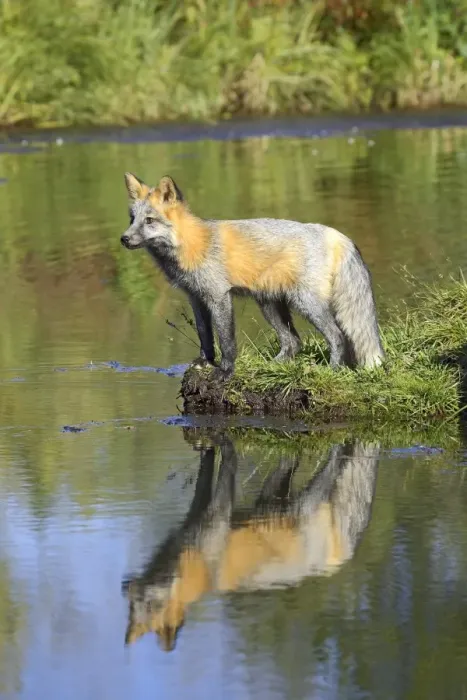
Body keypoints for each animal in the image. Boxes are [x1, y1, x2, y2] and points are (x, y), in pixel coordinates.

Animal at [120, 173, 385, 380]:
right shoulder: (196, 298)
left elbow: (226, 340)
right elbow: (205, 335)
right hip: (269, 303)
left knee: (338, 337)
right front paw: (205, 362)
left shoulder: (219, 296)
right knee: (293, 342)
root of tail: (337, 234)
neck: (192, 245)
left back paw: (332, 370)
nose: (124, 239)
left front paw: (225, 371)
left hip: (305, 303)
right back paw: (273, 368)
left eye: (149, 221)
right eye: (132, 219)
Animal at [122, 430, 380, 652]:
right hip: (272, 497)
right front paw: (205, 445)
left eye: (151, 605)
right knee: (290, 458)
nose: (126, 587)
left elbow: (228, 460)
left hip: (312, 496)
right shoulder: (197, 514)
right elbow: (206, 469)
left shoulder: (218, 514)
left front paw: (220, 438)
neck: (195, 566)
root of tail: (340, 557)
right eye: (133, 609)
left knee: (335, 456)